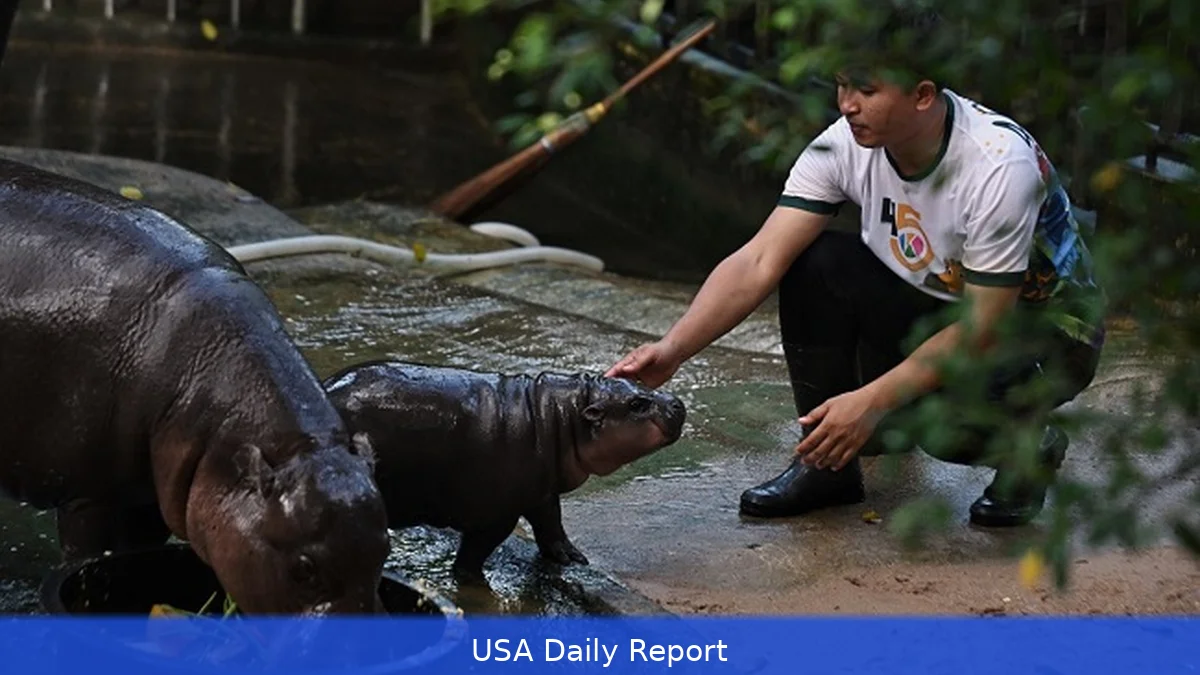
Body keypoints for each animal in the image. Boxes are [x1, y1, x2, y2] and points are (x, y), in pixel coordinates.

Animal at [321, 360, 687, 583]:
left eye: (639, 382)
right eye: (637, 404)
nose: (678, 403)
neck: (562, 416)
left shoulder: (542, 490)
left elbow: (551, 524)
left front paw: (571, 558)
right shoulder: (498, 514)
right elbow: (475, 552)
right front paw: (473, 582)